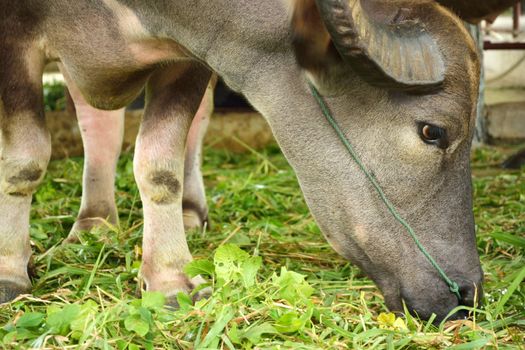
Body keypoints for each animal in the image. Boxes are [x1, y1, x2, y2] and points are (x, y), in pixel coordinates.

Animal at [0, 0, 516, 320]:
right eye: (433, 131)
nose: (467, 293)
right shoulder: (15, 38)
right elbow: (24, 159)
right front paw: (10, 270)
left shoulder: (190, 56)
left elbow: (161, 164)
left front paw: (169, 279)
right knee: (97, 124)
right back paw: (94, 223)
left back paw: (184, 214)